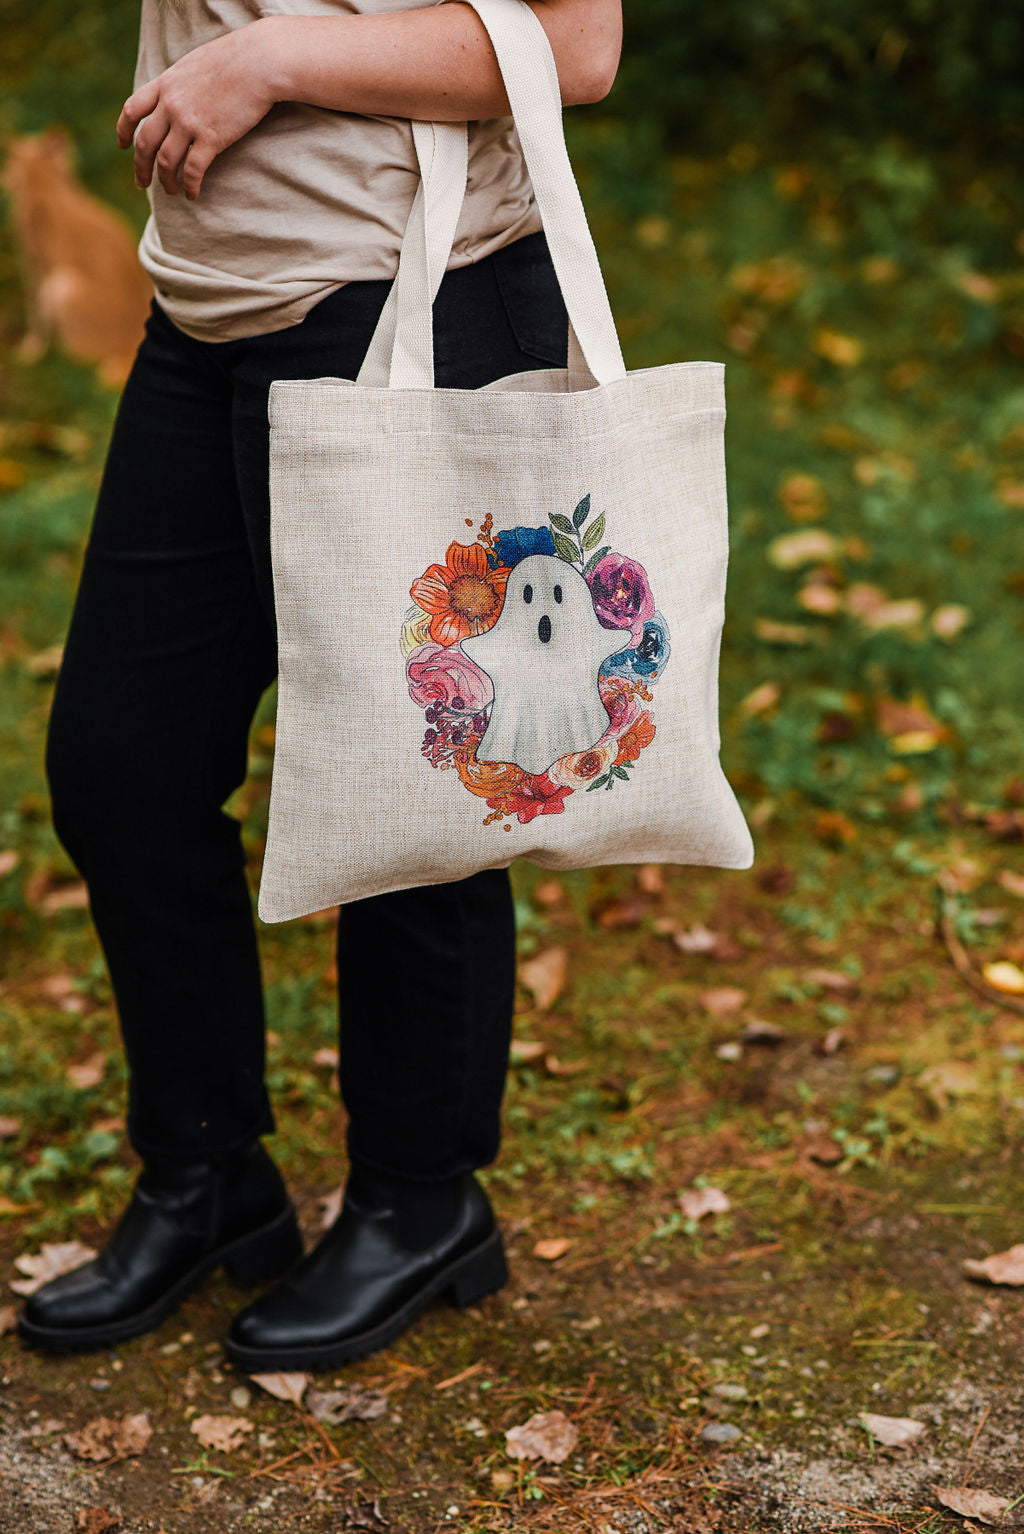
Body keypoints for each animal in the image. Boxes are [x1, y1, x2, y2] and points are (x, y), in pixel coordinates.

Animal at [2, 128, 153, 389]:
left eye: (9, 164)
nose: (4, 179)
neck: (47, 179)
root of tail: (132, 339)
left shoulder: (33, 262)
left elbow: (35, 308)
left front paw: (31, 350)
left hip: (63, 283)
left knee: (78, 363)